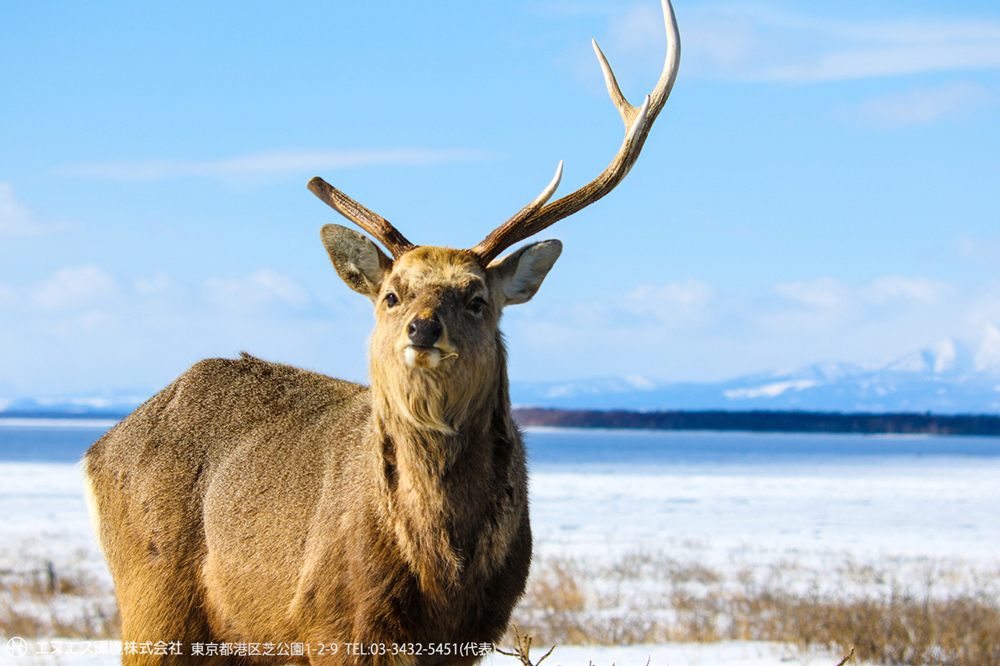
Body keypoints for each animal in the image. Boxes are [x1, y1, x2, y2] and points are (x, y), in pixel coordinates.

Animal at [82, 2, 680, 660]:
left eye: (477, 299)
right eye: (392, 295)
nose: (422, 328)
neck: (441, 574)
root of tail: (98, 448)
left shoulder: (478, 628)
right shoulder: (328, 621)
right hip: (152, 595)